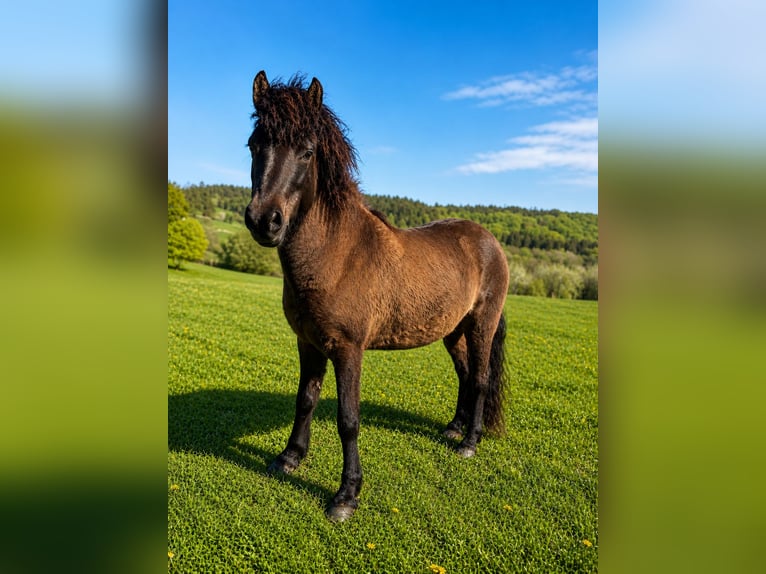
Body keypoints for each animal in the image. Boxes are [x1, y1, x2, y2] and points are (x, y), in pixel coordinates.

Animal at [244, 71, 510, 522]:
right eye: (253, 144)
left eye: (307, 152)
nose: (265, 221)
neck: (338, 253)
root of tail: (489, 241)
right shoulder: (308, 343)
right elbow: (305, 400)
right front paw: (289, 457)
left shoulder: (348, 349)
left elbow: (348, 419)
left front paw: (346, 496)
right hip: (452, 331)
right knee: (464, 376)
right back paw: (453, 428)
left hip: (481, 326)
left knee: (479, 379)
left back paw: (468, 442)